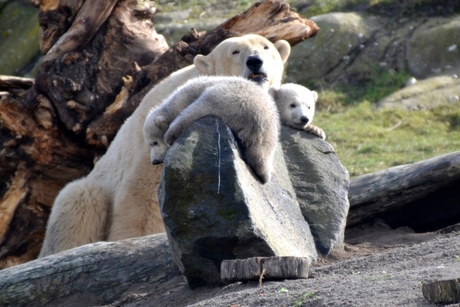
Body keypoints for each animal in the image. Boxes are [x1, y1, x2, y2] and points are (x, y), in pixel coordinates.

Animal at [144, 76, 280, 184]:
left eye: (154, 143)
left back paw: (171, 135)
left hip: (230, 99)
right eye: (151, 144)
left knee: (200, 107)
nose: (154, 161)